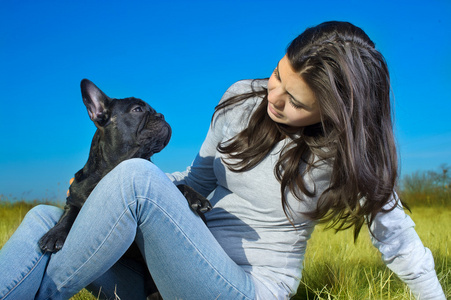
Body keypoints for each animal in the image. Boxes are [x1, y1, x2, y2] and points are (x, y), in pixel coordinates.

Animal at [38, 78, 211, 252]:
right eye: (137, 109)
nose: (161, 115)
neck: (113, 168)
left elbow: (179, 185)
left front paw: (197, 197)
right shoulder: (74, 197)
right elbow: (69, 213)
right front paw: (55, 233)